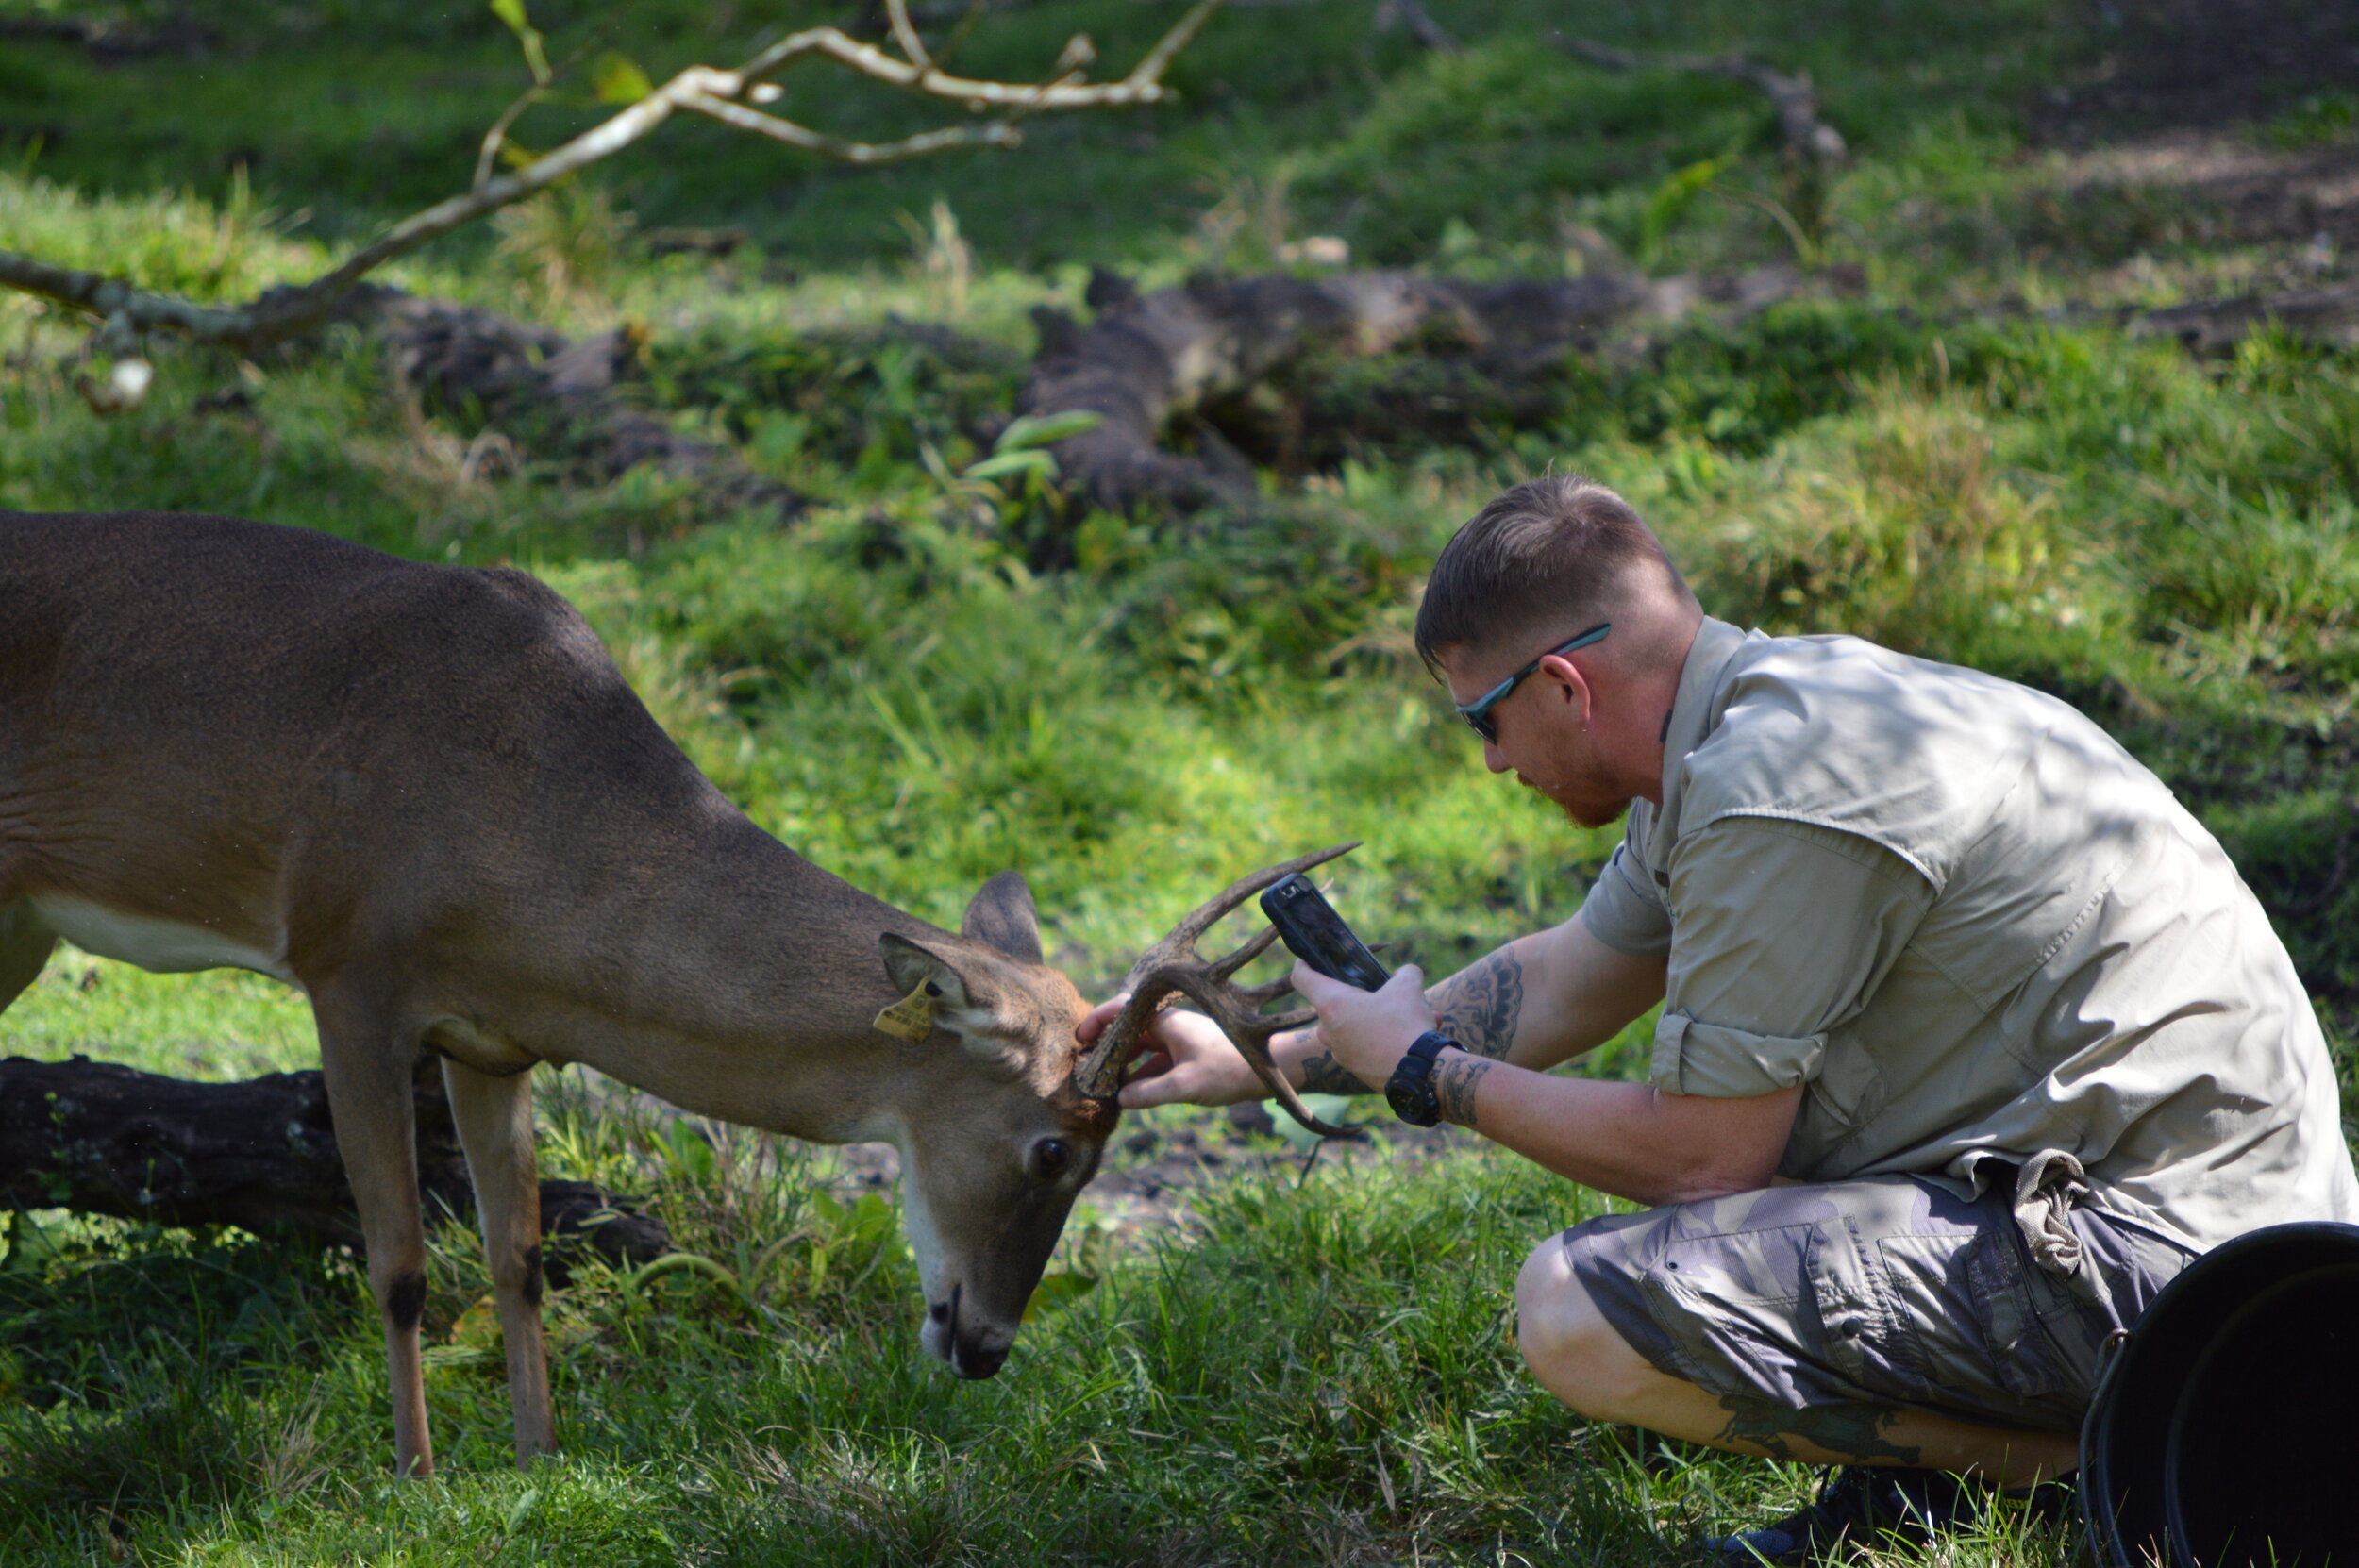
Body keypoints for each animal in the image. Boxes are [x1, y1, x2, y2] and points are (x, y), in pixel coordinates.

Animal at [0, 507, 1349, 1471]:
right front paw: (413, 1479)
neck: (514, 813)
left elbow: (517, 1256)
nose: (983, 1348)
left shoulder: (490, 1036)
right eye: (1053, 1150)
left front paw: (537, 1458)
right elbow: (400, 1264)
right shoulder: (350, 968)